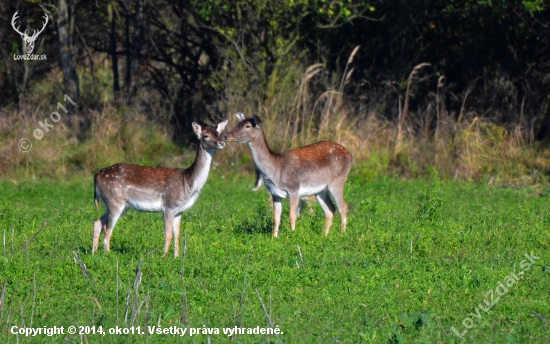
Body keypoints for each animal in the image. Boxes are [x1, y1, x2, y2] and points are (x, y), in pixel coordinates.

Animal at [92, 119, 229, 256]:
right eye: (205, 136)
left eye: (218, 133)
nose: (222, 142)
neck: (188, 182)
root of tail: (96, 176)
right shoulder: (169, 206)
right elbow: (167, 234)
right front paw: (164, 256)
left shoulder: (180, 210)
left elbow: (177, 234)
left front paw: (177, 257)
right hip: (115, 200)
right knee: (108, 230)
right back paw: (107, 254)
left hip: (118, 204)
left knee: (98, 223)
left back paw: (94, 253)